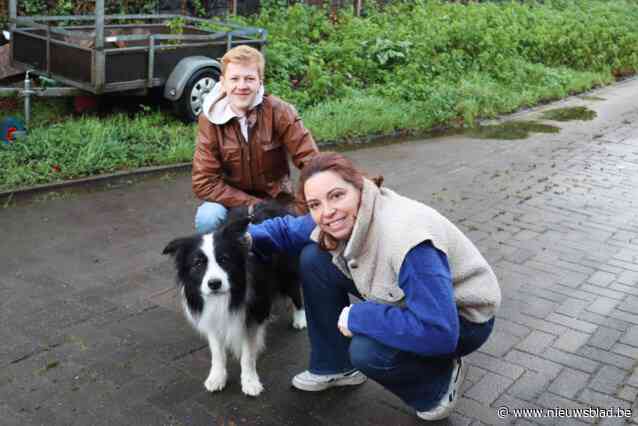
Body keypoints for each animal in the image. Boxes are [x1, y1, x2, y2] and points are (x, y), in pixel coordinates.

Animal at [164, 202, 306, 396]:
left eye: (224, 259)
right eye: (198, 263)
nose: (214, 284)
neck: (226, 296)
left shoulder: (251, 314)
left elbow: (247, 354)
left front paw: (250, 382)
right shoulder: (211, 315)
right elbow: (217, 352)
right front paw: (216, 377)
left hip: (286, 271)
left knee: (295, 290)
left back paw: (300, 319)